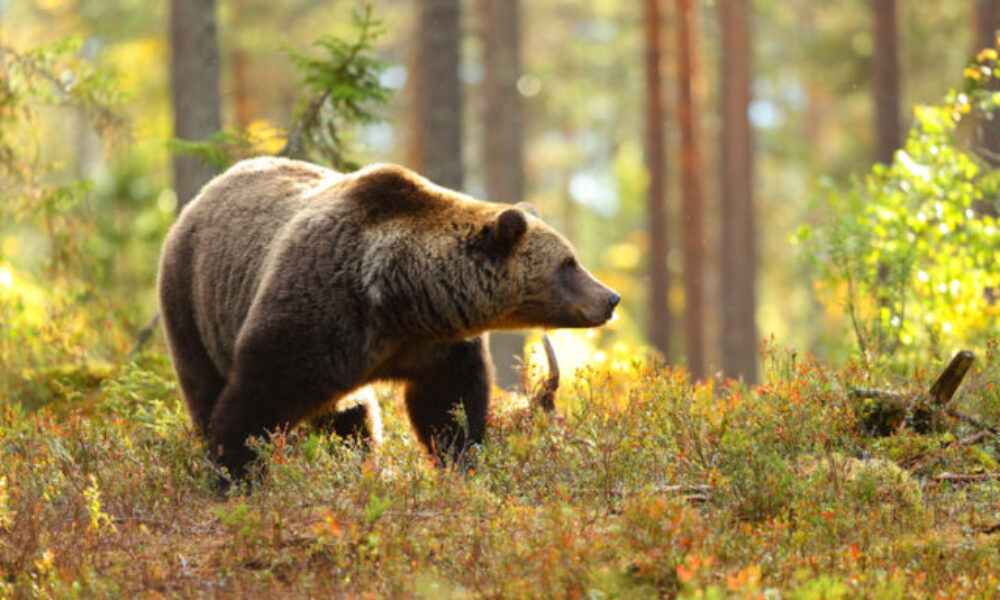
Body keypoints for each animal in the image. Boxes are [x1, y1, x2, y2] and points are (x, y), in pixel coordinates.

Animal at [158, 158, 616, 478]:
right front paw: (235, 471)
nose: (611, 298)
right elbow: (257, 396)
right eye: (568, 263)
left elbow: (447, 406)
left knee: (351, 418)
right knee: (203, 385)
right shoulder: (315, 311)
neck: (398, 299)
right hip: (192, 303)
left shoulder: (435, 347)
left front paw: (461, 461)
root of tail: (201, 194)